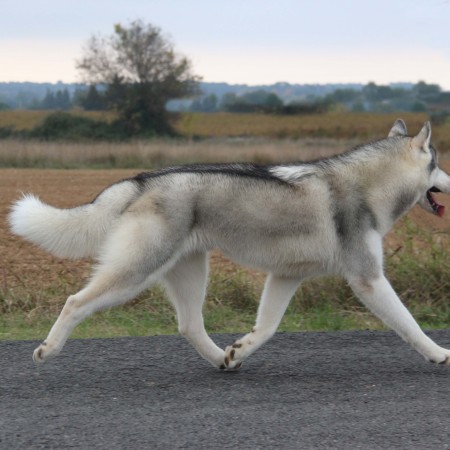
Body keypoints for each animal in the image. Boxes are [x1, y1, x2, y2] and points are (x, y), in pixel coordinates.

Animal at [7, 120, 450, 370]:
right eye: (438, 163)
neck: (369, 186)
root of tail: (142, 179)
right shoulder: (367, 279)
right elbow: (409, 323)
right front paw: (438, 353)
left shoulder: (285, 277)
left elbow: (266, 328)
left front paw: (239, 350)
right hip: (135, 272)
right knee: (75, 302)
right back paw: (47, 350)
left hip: (189, 271)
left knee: (188, 324)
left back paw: (221, 360)